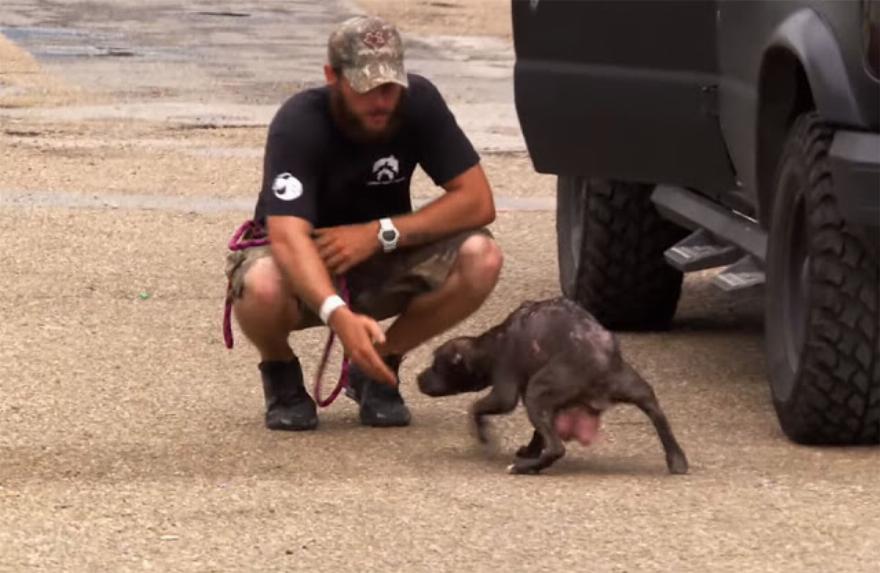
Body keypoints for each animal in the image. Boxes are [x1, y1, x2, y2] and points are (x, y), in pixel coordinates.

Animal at [416, 297, 689, 475]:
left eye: (436, 365)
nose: (418, 377)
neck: (491, 344)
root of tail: (603, 364)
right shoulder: (545, 405)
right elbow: (539, 432)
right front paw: (530, 449)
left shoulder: (506, 386)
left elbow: (475, 407)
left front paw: (483, 435)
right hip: (638, 390)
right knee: (658, 416)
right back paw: (677, 459)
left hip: (538, 393)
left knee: (557, 448)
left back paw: (524, 468)